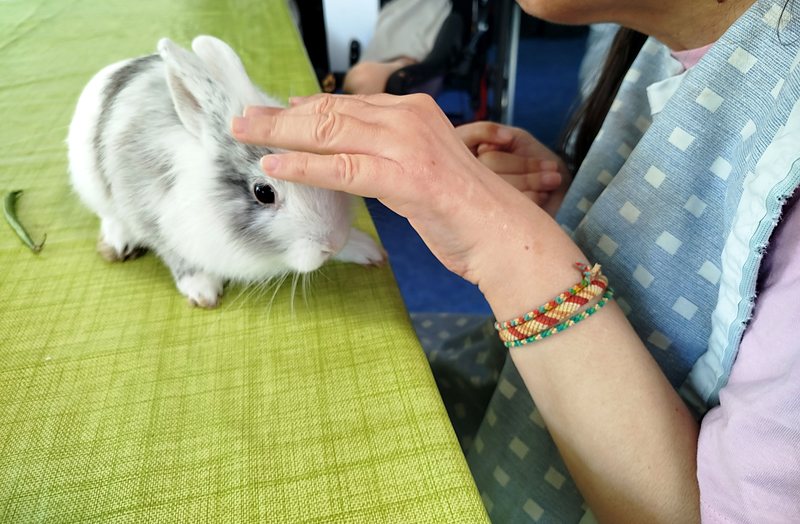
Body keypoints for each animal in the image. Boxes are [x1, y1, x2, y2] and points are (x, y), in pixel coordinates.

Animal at [67, 36, 385, 308]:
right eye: (263, 192)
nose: (331, 243)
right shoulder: (151, 215)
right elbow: (176, 255)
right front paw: (202, 290)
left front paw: (364, 247)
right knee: (109, 215)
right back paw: (118, 242)